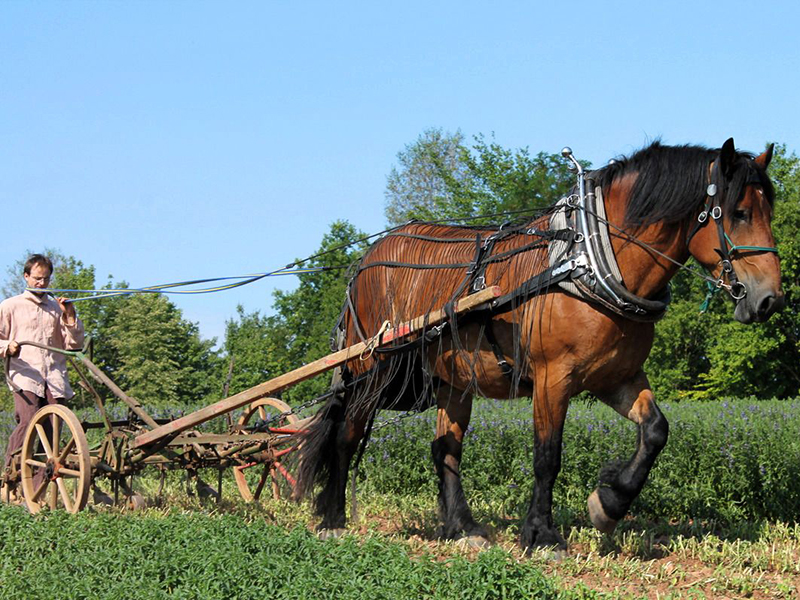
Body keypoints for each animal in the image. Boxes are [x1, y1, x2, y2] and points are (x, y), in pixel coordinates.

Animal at [295, 138, 784, 551]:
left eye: (768, 211)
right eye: (739, 212)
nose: (770, 299)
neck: (588, 260)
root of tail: (366, 261)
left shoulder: (616, 376)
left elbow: (655, 431)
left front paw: (608, 504)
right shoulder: (554, 377)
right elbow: (548, 456)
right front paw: (542, 535)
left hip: (451, 379)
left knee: (445, 448)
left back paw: (463, 528)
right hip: (372, 371)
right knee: (346, 435)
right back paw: (334, 522)